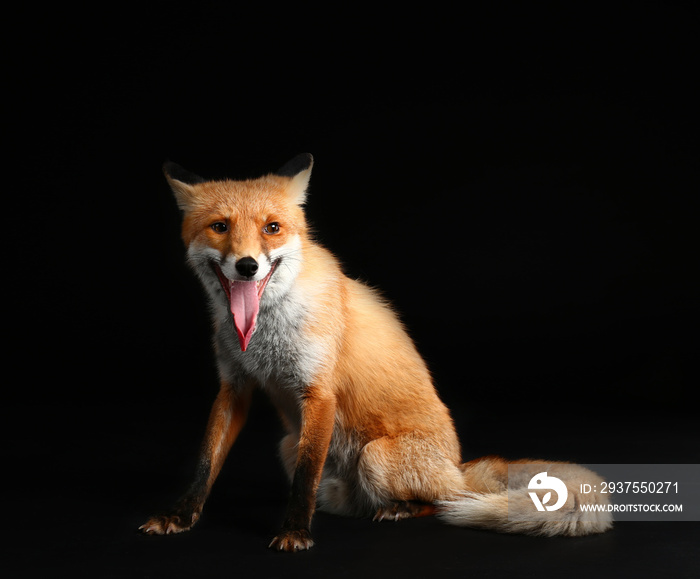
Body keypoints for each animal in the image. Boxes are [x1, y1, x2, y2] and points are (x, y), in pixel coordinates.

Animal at [138, 155, 612, 552]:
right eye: (220, 227)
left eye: (272, 228)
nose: (248, 266)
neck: (262, 334)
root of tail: (459, 465)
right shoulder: (234, 387)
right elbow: (206, 462)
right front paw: (180, 515)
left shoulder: (319, 392)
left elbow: (305, 478)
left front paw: (295, 531)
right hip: (289, 444)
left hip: (376, 457)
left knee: (445, 501)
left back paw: (400, 509)